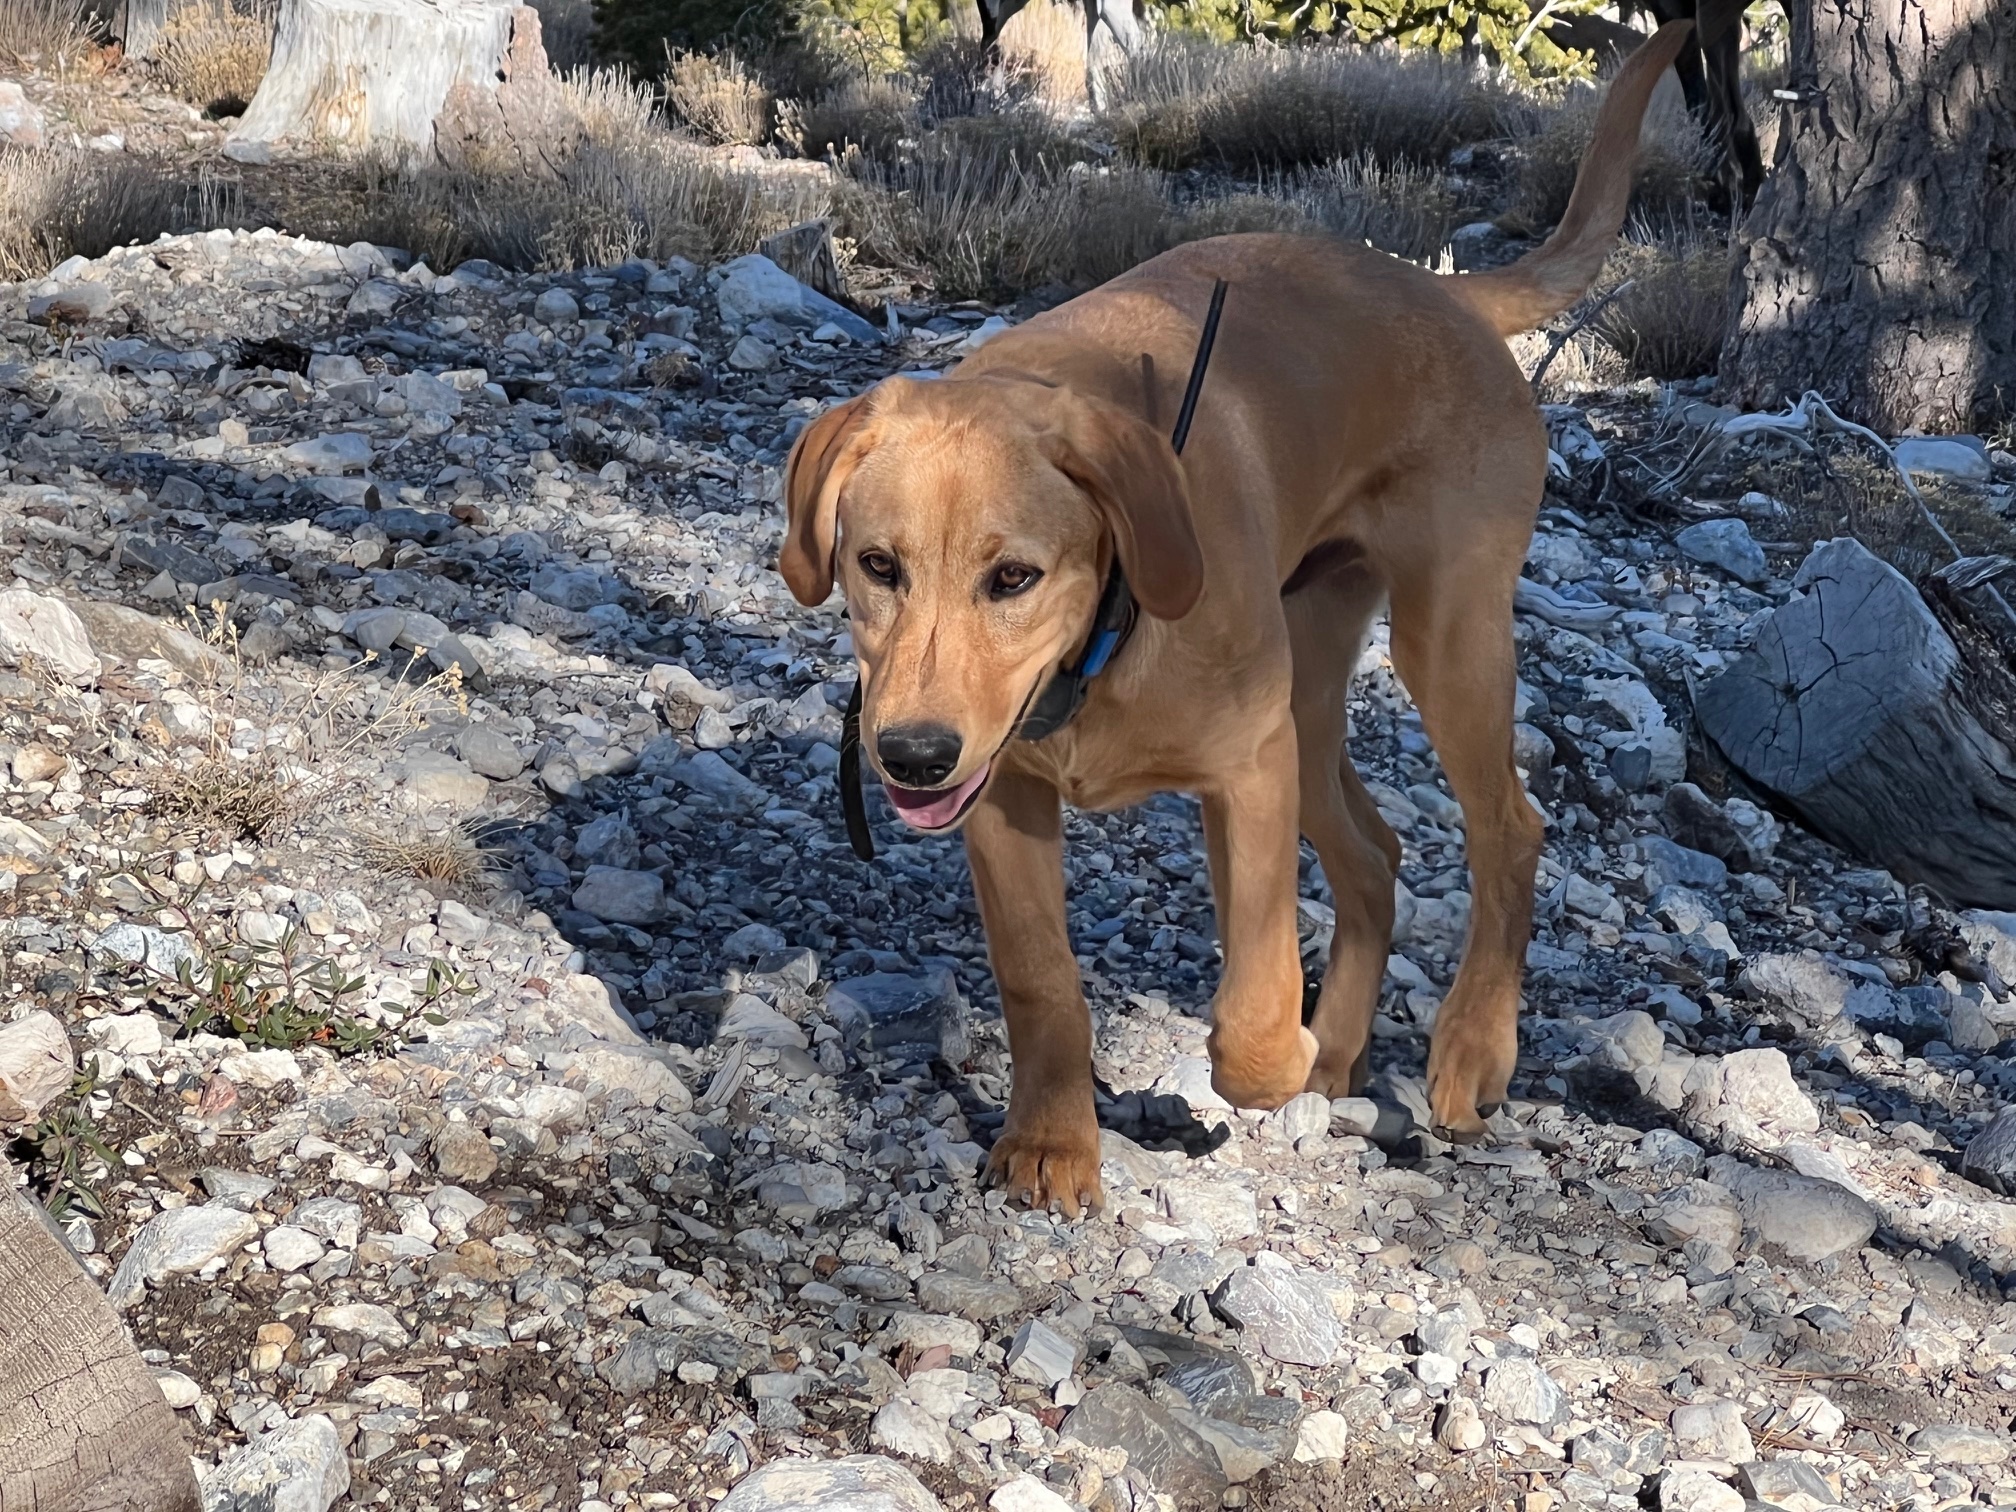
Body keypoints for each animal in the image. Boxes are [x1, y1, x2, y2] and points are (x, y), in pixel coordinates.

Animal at [781, 22, 1692, 1217]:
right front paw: (1052, 1144)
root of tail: (1446, 294)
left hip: (1442, 642)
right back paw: (1344, 1050)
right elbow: (1040, 981)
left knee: (1511, 828)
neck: (1107, 644)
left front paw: (1275, 1061)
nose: (913, 757)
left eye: (1014, 578)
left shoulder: (1247, 770)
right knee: (1378, 854)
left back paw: (1467, 1051)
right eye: (876, 566)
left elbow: (1253, 1009)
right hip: (1312, 687)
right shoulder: (1008, 799)